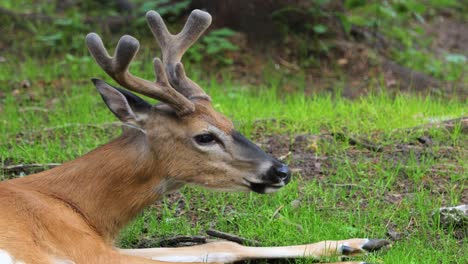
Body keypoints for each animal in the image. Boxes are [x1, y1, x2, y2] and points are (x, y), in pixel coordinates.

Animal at [0, 8, 390, 264]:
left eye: (229, 120)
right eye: (204, 136)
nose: (281, 171)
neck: (76, 207)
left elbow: (218, 246)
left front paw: (358, 242)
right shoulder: (86, 251)